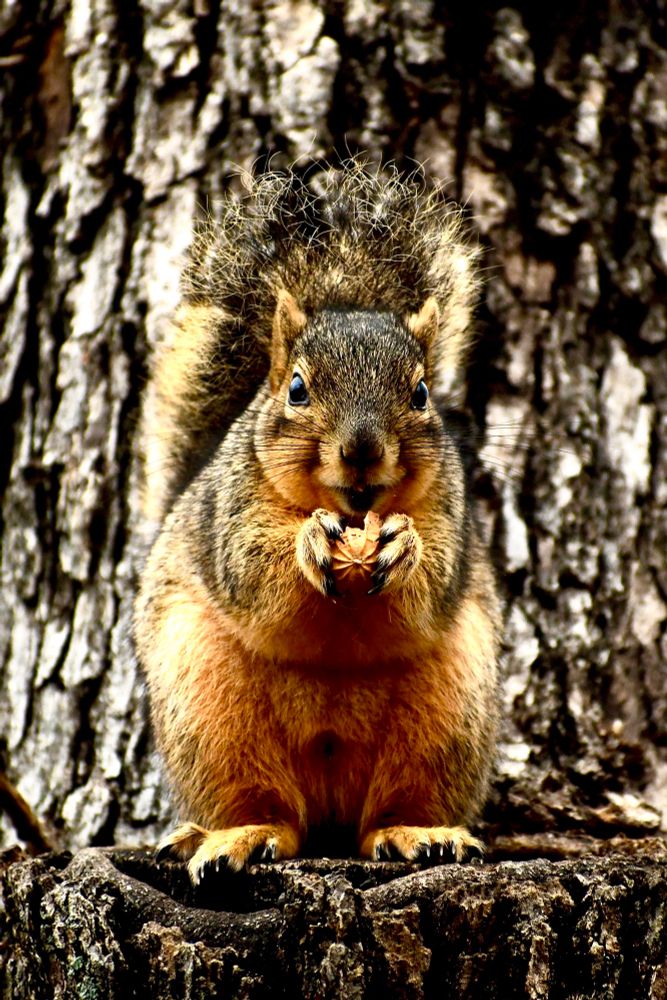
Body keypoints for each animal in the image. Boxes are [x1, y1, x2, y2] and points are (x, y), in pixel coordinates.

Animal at [134, 159, 501, 882]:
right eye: (297, 389)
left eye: (420, 392)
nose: (361, 451)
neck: (351, 515)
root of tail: (331, 800)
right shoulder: (232, 514)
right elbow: (257, 573)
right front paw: (306, 542)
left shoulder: (450, 516)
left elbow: (432, 579)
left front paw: (403, 545)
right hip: (209, 708)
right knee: (271, 809)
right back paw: (238, 835)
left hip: (448, 715)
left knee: (385, 812)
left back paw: (417, 832)